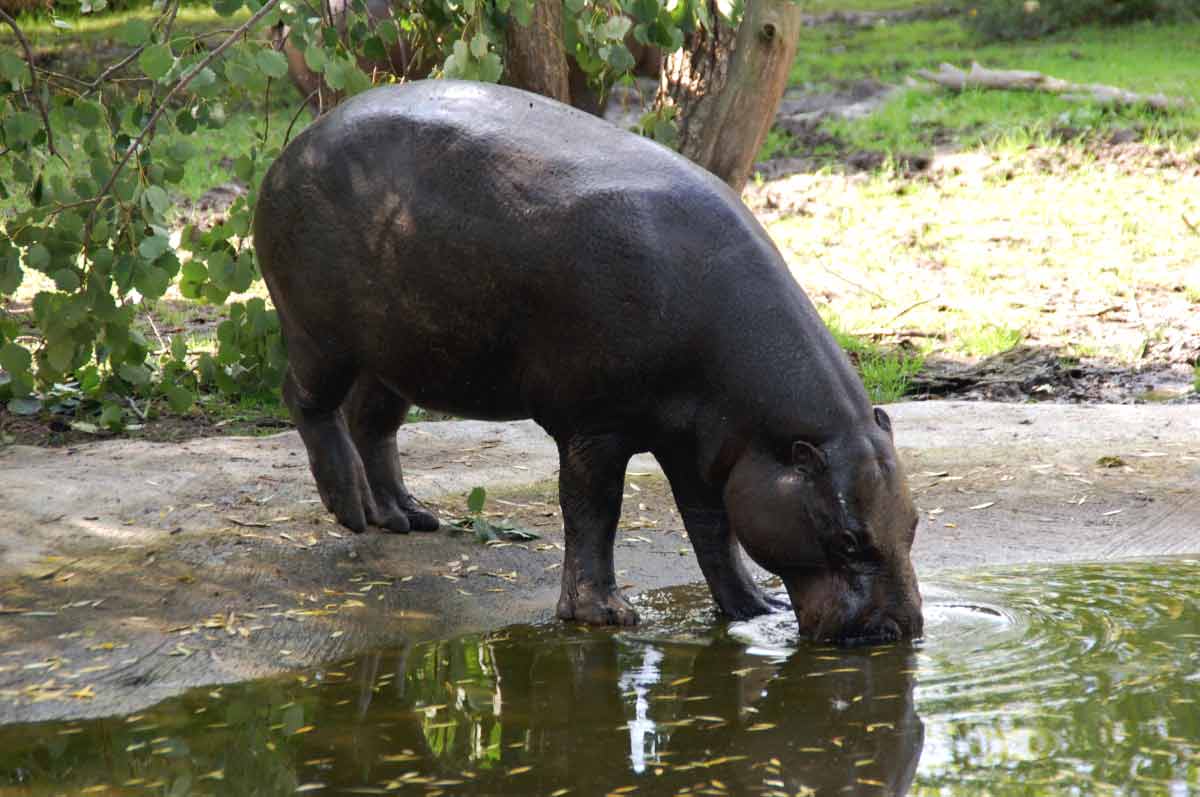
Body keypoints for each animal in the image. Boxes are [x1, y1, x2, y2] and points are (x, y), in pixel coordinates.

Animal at [253, 78, 921, 643]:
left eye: (913, 523)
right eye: (849, 540)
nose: (901, 630)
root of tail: (294, 148)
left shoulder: (699, 446)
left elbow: (713, 529)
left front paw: (755, 609)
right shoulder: (594, 426)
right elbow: (593, 511)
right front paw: (603, 615)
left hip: (400, 350)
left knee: (373, 420)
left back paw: (405, 517)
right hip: (321, 337)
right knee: (308, 402)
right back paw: (350, 510)